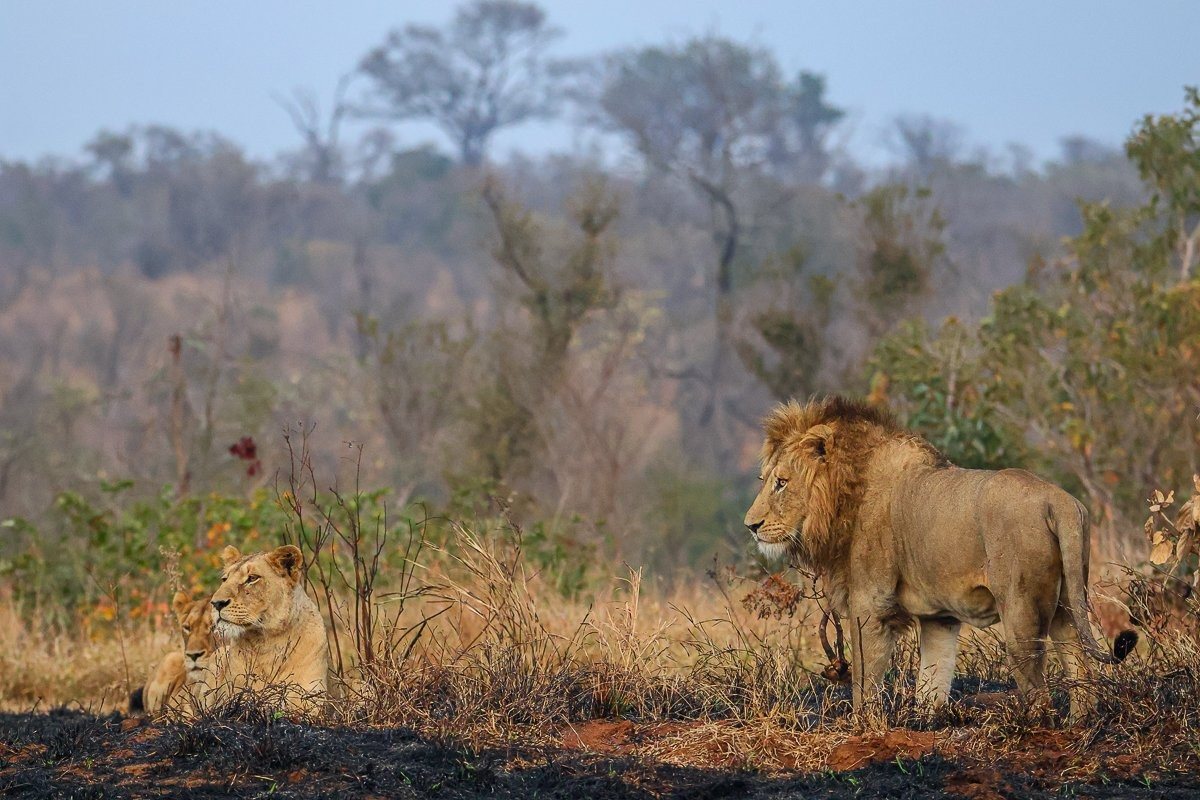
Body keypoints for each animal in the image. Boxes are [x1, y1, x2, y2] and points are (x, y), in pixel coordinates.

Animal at [744, 396, 1135, 722]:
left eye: (781, 483)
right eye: (766, 480)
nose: (751, 525)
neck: (848, 493)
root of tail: (1059, 501)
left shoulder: (870, 606)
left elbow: (864, 685)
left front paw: (865, 729)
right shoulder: (940, 618)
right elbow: (932, 680)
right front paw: (925, 724)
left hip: (1021, 612)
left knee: (1039, 691)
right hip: (1069, 603)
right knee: (1081, 669)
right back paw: (1080, 726)